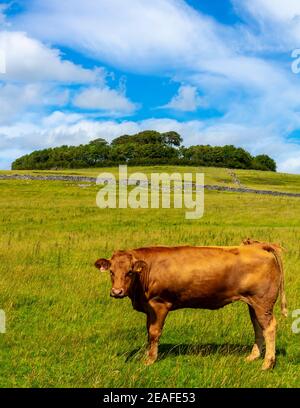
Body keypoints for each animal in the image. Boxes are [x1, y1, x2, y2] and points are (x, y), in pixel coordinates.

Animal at [95, 241, 288, 372]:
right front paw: (147, 355)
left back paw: (267, 363)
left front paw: (150, 360)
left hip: (262, 302)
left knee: (269, 327)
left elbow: (154, 332)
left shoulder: (158, 304)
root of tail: (258, 246)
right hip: (253, 303)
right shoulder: (149, 308)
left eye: (129, 272)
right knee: (258, 327)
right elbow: (148, 332)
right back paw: (253, 356)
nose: (117, 291)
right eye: (111, 272)